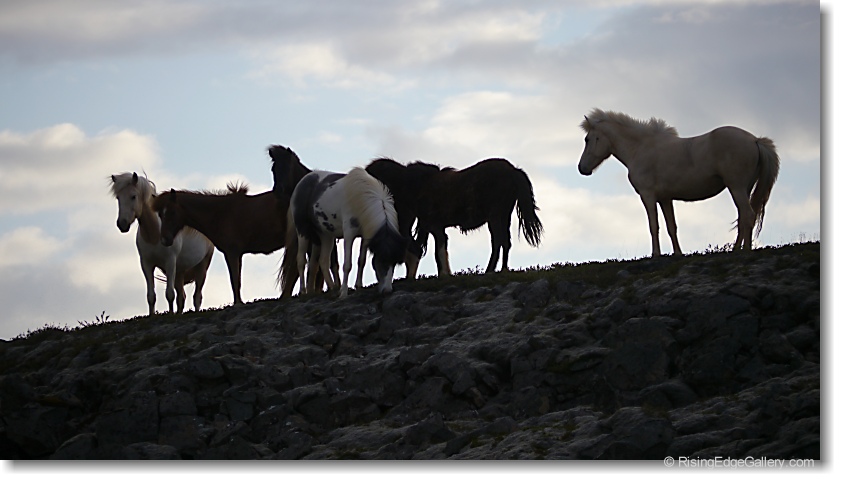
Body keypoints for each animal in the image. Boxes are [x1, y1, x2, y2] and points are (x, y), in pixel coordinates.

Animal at [109, 172, 214, 316]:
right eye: (118, 197)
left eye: (133, 196)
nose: (122, 224)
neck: (154, 235)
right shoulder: (146, 265)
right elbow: (151, 296)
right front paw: (152, 315)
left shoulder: (170, 262)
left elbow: (169, 294)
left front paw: (170, 314)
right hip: (179, 272)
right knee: (182, 297)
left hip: (202, 266)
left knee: (197, 297)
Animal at [151, 183, 296, 305]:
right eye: (160, 214)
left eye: (172, 212)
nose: (165, 240)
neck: (220, 213)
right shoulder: (236, 254)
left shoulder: (232, 253)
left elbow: (235, 280)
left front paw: (238, 303)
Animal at [290, 167, 407, 297]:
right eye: (382, 259)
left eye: (395, 262)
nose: (387, 290)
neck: (361, 198)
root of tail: (303, 181)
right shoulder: (349, 234)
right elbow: (347, 264)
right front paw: (344, 292)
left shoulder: (366, 236)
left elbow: (361, 260)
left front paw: (358, 285)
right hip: (302, 230)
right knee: (301, 260)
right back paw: (303, 291)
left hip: (325, 235)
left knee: (323, 260)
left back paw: (333, 287)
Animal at [365, 158, 544, 277]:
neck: (416, 185)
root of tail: (513, 170)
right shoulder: (431, 226)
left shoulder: (435, 225)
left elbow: (438, 251)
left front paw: (444, 274)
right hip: (504, 216)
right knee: (506, 242)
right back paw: (503, 269)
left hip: (495, 216)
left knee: (498, 241)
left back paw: (490, 270)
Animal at [577, 108, 780, 257]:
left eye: (588, 139)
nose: (582, 168)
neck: (641, 148)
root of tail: (755, 140)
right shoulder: (665, 199)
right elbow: (671, 227)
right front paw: (678, 253)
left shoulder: (648, 196)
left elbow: (654, 226)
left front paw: (656, 255)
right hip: (743, 189)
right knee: (743, 217)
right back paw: (737, 249)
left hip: (736, 187)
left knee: (747, 215)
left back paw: (743, 251)